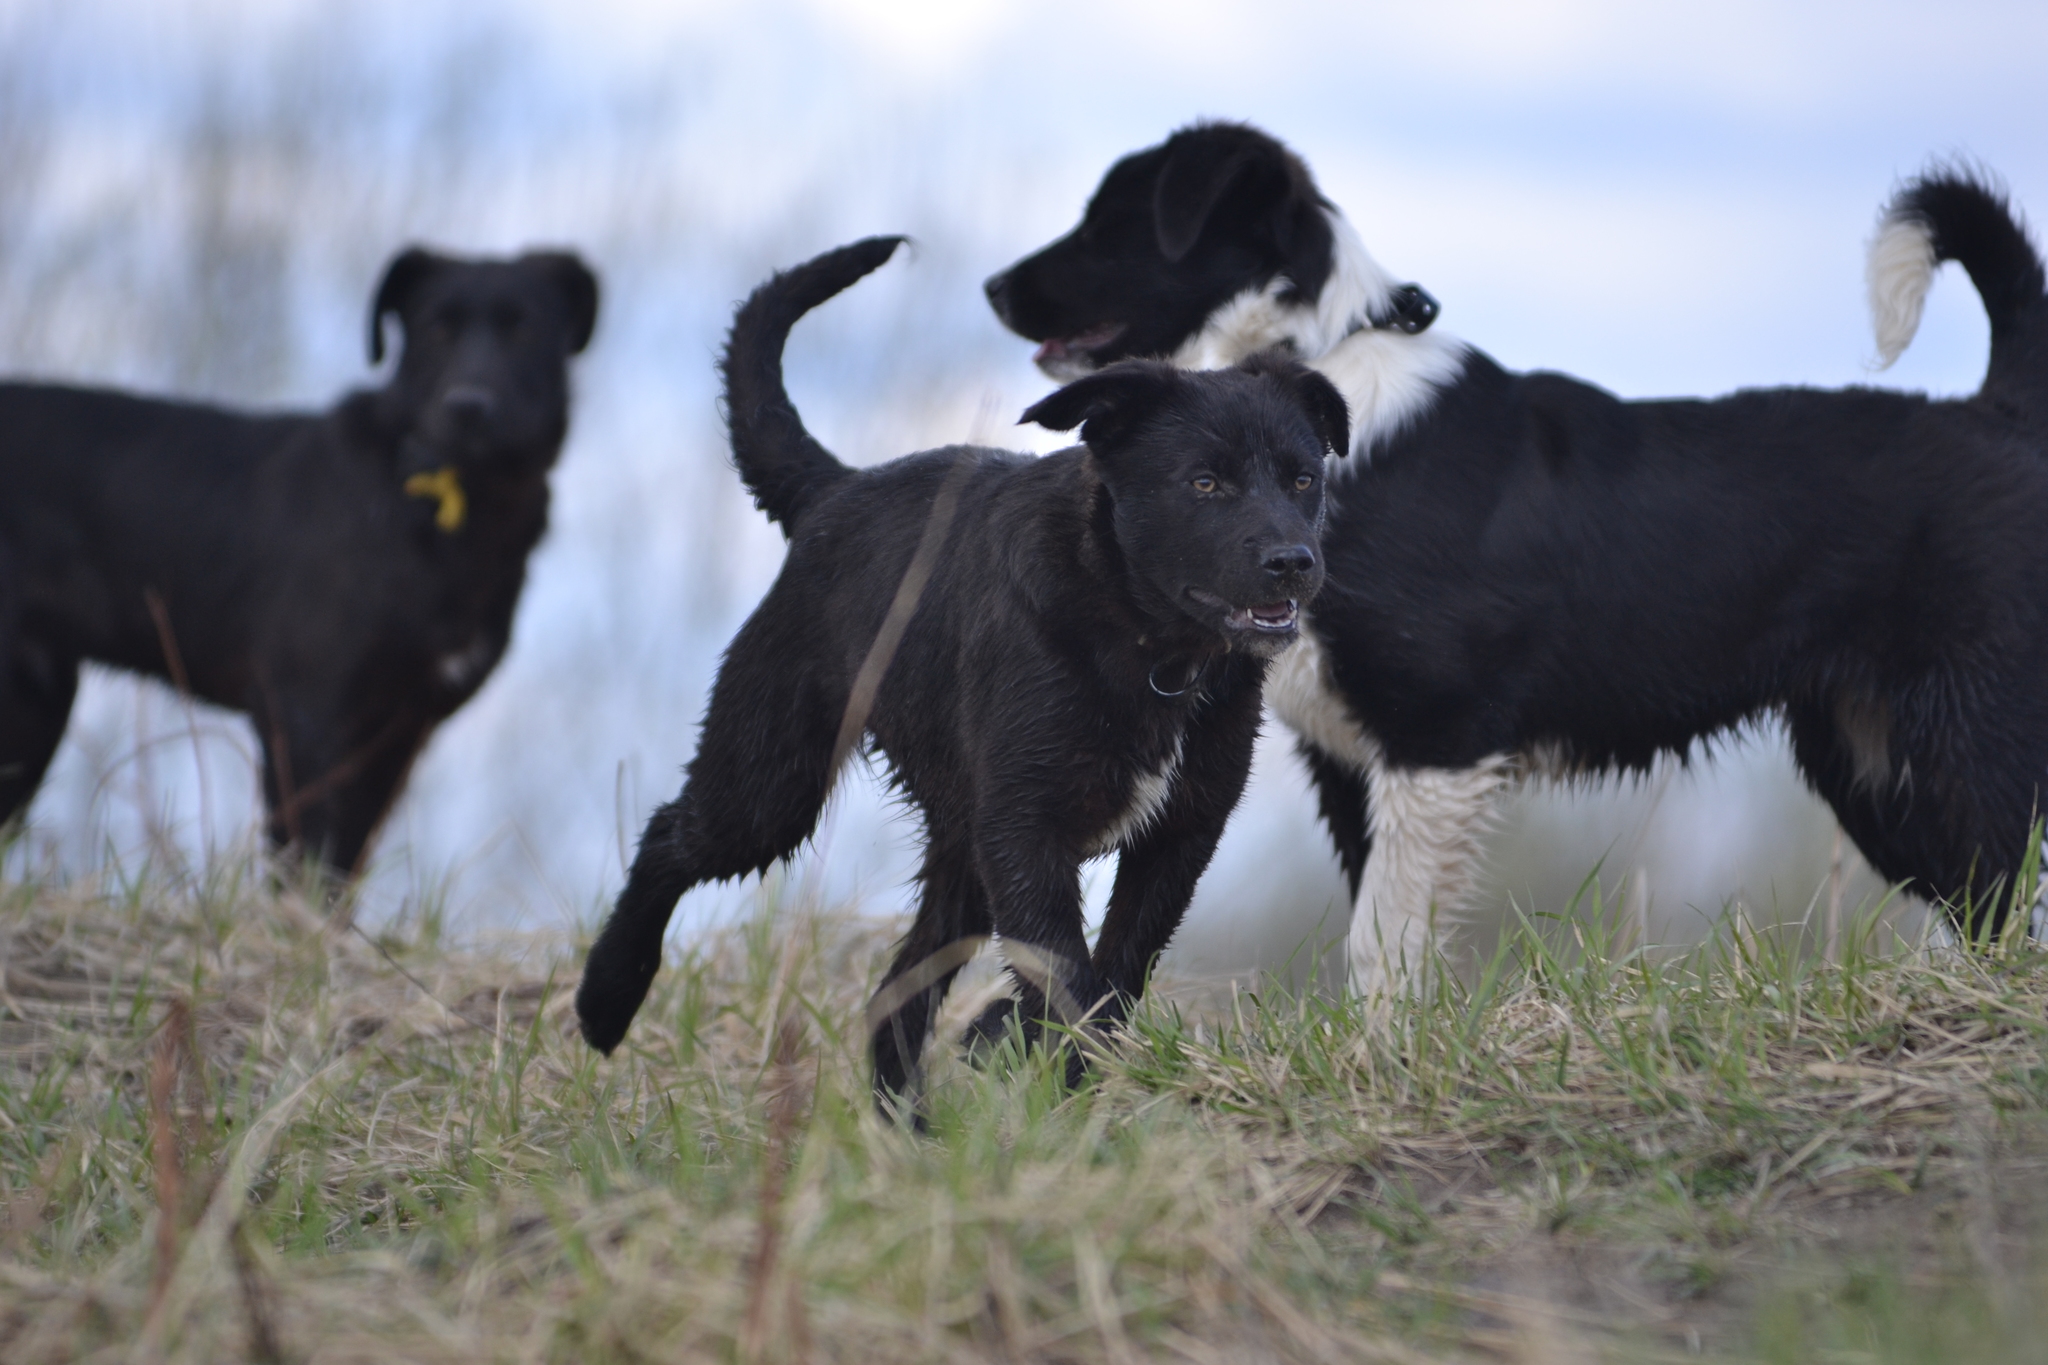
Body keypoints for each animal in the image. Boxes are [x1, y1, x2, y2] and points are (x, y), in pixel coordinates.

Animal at [0, 248, 602, 875]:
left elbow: (342, 865)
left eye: (525, 329)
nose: (468, 407)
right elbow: (306, 856)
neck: (439, 501)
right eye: (436, 328)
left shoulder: (399, 731)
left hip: (33, 708)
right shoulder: (305, 710)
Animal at [573, 240, 1343, 1105]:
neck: (1151, 646)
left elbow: (1113, 969)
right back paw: (606, 997)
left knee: (894, 993)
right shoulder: (1025, 829)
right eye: (1205, 482)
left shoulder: (1179, 830)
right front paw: (1048, 1068)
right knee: (668, 835)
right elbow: (1067, 971)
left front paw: (1019, 1050)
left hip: (956, 847)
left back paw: (908, 1126)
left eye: (1303, 478)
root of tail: (834, 490)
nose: (1293, 562)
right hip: (770, 786)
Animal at [983, 125, 2048, 982]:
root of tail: (2000, 411)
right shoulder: (1350, 764)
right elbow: (1378, 944)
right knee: (1983, 906)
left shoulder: (1436, 737)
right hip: (1876, 767)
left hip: (1975, 744)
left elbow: (1384, 944)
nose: (992, 286)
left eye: (1110, 220)